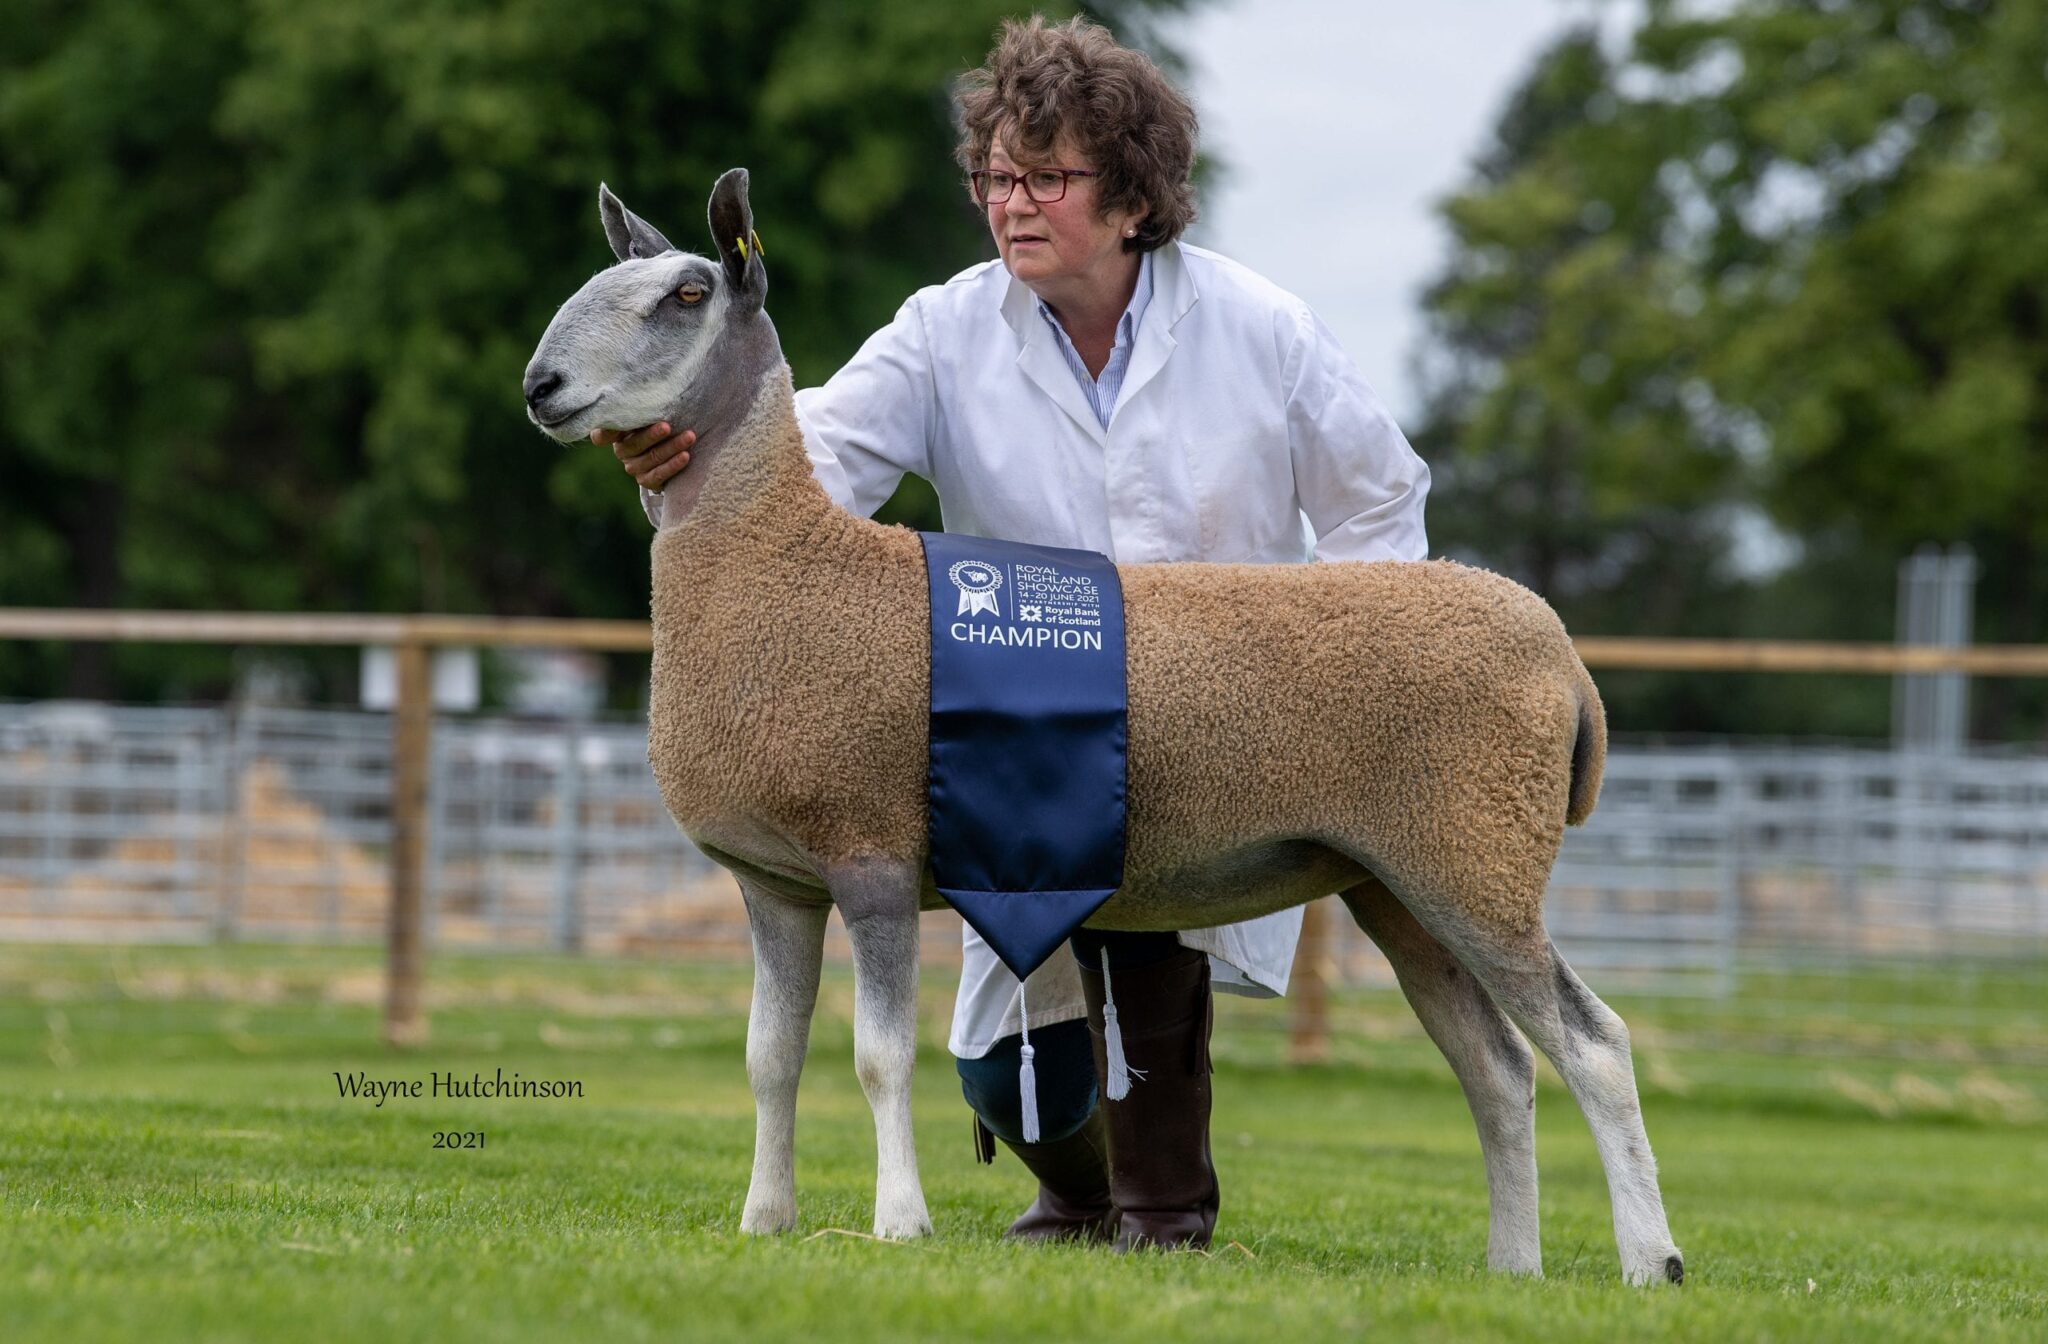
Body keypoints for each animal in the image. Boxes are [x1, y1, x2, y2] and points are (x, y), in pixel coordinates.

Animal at [520, 173, 1687, 1286]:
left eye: (686, 296)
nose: (540, 388)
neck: (777, 561)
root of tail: (1560, 655)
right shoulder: (775, 883)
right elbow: (769, 1058)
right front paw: (765, 1221)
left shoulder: (871, 858)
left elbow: (877, 1059)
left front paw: (898, 1224)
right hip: (1397, 882)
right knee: (1498, 1069)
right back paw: (1513, 1265)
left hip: (1476, 858)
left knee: (1592, 1046)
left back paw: (1649, 1262)